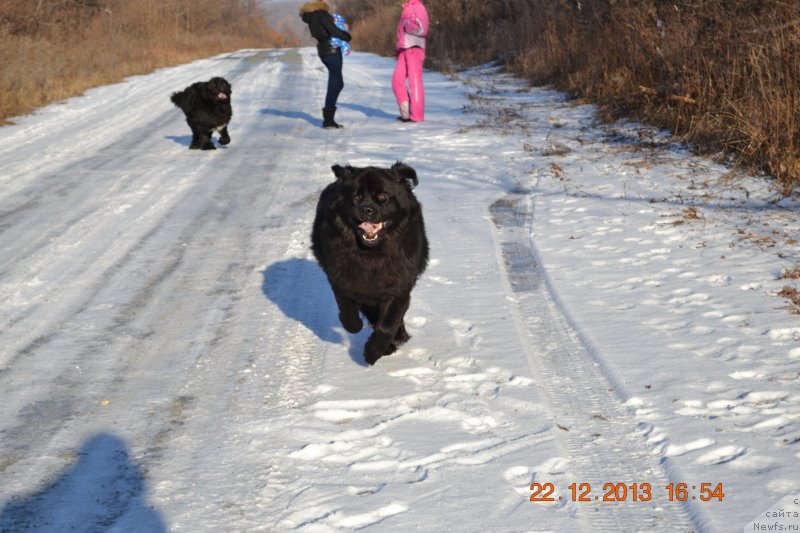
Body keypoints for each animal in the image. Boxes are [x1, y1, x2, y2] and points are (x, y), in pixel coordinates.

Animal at [310, 160, 428, 364]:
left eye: (383, 196)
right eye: (356, 196)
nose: (366, 209)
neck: (372, 255)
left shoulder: (399, 287)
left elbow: (388, 324)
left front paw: (372, 352)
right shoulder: (342, 281)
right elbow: (349, 315)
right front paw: (357, 329)